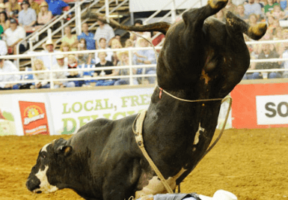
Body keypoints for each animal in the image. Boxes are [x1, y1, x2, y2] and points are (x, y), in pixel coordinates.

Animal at [25, 0, 266, 199]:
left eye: (42, 157)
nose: (28, 181)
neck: (89, 152)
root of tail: (169, 27)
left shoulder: (115, 188)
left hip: (176, 59)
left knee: (190, 17)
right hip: (232, 63)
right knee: (231, 25)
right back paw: (253, 26)